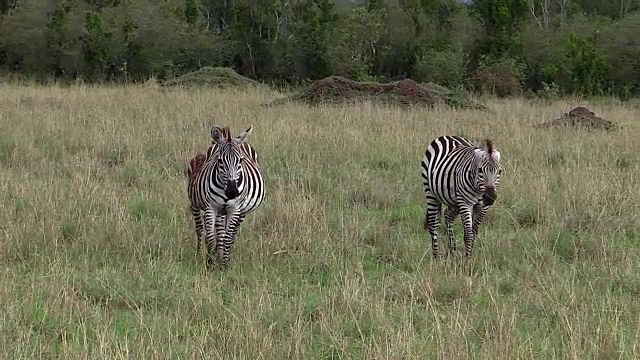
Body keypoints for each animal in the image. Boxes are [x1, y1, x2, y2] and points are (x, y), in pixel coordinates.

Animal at [188, 125, 264, 268]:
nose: (232, 191)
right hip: (219, 210)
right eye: (220, 160)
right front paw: (210, 263)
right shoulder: (211, 207)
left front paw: (225, 265)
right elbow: (211, 238)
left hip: (241, 212)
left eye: (240, 160)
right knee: (218, 232)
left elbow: (228, 238)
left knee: (230, 235)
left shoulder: (235, 209)